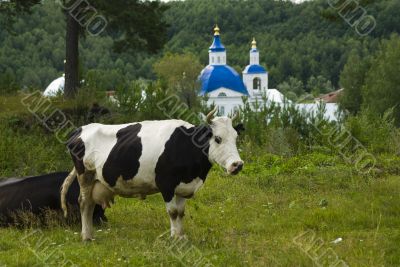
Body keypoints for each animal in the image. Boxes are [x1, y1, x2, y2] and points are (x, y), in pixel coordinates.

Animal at [61, 108, 244, 242]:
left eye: (236, 137)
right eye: (218, 139)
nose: (237, 165)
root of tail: (81, 129)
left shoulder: (183, 186)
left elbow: (181, 212)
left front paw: (181, 237)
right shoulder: (166, 184)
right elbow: (173, 212)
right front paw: (174, 238)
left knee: (91, 204)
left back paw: (90, 234)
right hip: (85, 176)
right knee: (84, 203)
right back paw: (86, 236)